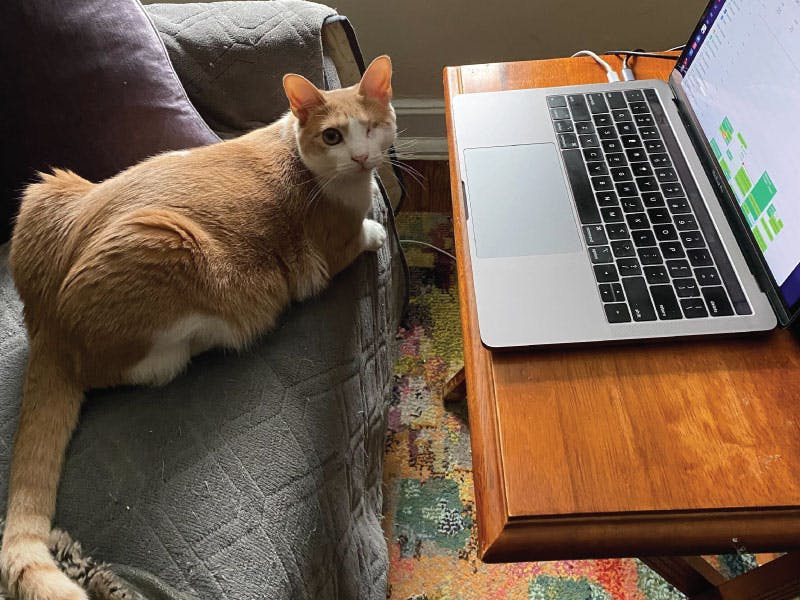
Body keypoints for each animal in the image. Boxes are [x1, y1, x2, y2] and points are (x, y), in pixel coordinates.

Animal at [1, 56, 396, 600]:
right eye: (333, 136)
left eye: (372, 128)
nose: (360, 158)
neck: (300, 155)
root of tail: (48, 323)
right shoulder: (332, 244)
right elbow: (361, 237)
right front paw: (374, 231)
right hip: (173, 249)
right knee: (147, 364)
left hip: (47, 189)